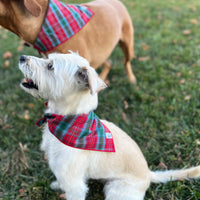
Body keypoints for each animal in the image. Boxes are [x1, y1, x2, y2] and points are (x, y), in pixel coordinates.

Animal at [18, 52, 198, 200]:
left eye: (51, 66)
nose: (21, 57)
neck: (66, 122)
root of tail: (148, 174)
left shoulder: (75, 185)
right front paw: (57, 184)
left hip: (115, 190)